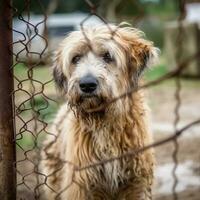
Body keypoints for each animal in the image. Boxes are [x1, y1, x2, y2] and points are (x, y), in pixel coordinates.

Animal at [40, 23, 159, 200]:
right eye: (76, 58)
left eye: (107, 56)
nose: (87, 84)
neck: (105, 122)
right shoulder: (81, 185)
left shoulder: (136, 184)